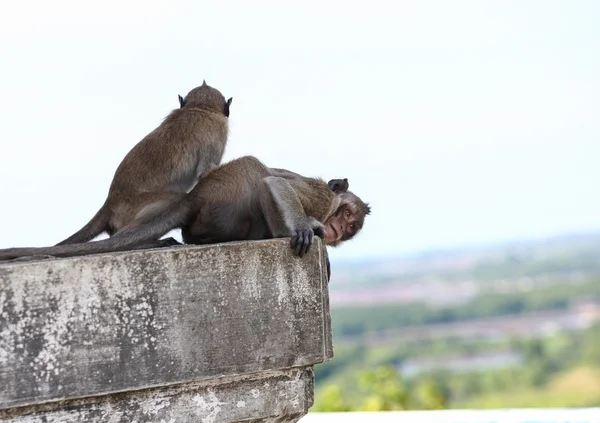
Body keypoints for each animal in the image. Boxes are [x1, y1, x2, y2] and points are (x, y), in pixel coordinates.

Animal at [0, 156, 370, 262]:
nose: (340, 230)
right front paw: (304, 228)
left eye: (351, 228)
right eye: (347, 215)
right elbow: (276, 184)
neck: (328, 207)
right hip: (227, 196)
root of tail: (195, 199)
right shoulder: (318, 196)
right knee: (256, 169)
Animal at [54, 80, 232, 245]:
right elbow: (204, 172)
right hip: (134, 205)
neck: (200, 108)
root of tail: (111, 201)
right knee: (175, 199)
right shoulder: (217, 135)